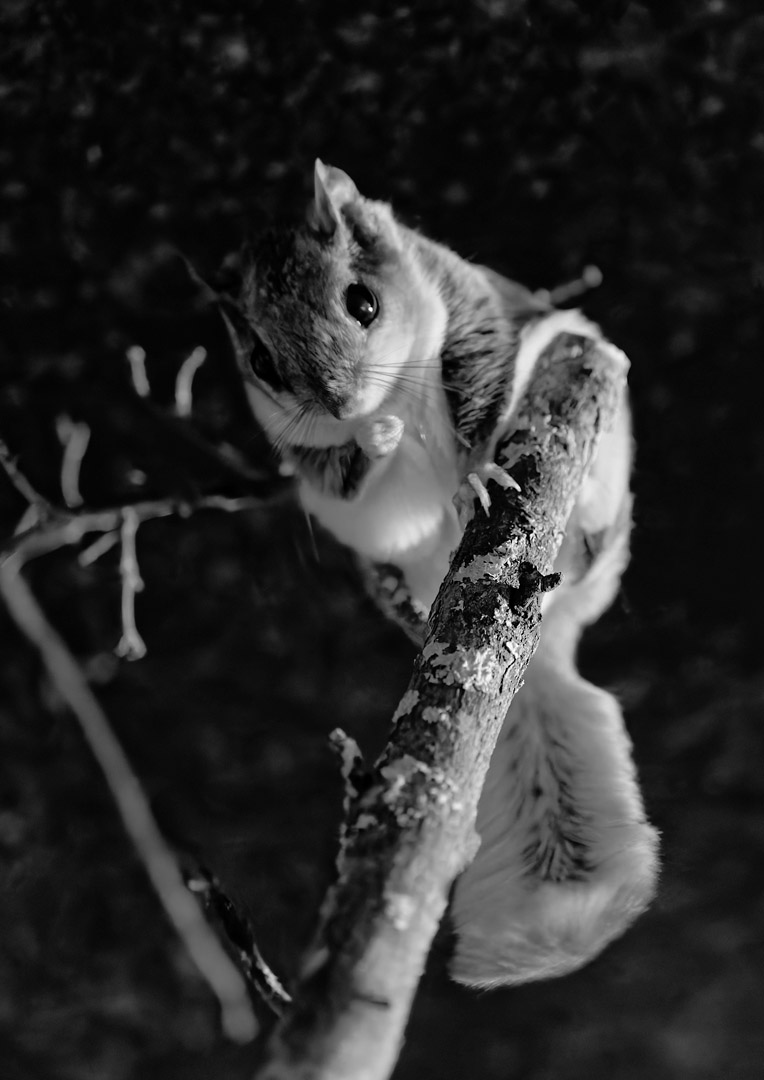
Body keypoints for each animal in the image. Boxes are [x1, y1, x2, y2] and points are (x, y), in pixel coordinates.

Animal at [215, 160, 659, 987]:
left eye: (362, 301)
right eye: (261, 362)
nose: (340, 400)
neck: (394, 390)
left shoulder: (475, 310)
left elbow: (485, 390)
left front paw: (475, 470)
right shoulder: (317, 476)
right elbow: (345, 479)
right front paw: (375, 440)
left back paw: (588, 531)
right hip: (380, 560)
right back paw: (412, 607)